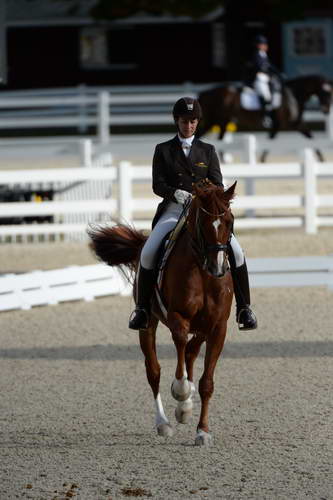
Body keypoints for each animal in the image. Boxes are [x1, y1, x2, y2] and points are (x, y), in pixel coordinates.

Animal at [87, 180, 235, 446]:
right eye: (203, 223)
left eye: (229, 221)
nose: (217, 268)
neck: (202, 271)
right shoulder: (178, 319)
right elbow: (178, 349)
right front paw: (181, 392)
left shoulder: (218, 327)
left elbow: (206, 382)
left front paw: (202, 431)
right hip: (148, 325)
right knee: (154, 371)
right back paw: (164, 422)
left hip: (201, 328)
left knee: (190, 353)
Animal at [198, 74, 330, 161]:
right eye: (327, 92)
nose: (326, 110)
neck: (293, 95)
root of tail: (205, 93)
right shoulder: (289, 124)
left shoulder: (290, 124)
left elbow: (310, 137)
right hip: (216, 121)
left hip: (221, 122)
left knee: (217, 140)